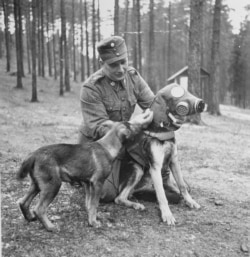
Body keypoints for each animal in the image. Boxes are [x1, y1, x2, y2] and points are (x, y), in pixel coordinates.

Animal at [16, 120, 146, 230]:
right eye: (132, 126)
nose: (142, 127)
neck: (107, 146)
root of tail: (34, 154)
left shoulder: (88, 183)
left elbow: (89, 204)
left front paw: (91, 218)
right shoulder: (97, 183)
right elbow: (94, 204)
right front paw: (93, 223)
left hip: (37, 184)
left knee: (23, 202)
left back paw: (30, 218)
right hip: (53, 185)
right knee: (39, 209)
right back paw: (50, 227)